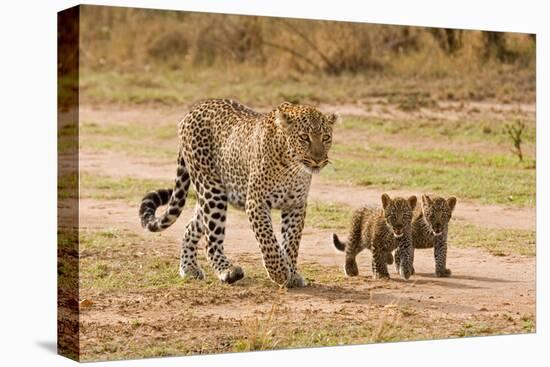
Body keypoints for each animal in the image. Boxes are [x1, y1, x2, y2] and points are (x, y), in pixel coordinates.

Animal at [139, 99, 336, 288]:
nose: (319, 160)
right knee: (211, 241)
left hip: (209, 196)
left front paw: (292, 273)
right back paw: (227, 271)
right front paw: (280, 273)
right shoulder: (256, 202)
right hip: (212, 190)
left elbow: (292, 242)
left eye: (326, 137)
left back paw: (189, 268)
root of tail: (193, 110)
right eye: (304, 137)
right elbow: (269, 241)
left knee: (191, 227)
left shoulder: (296, 205)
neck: (291, 167)